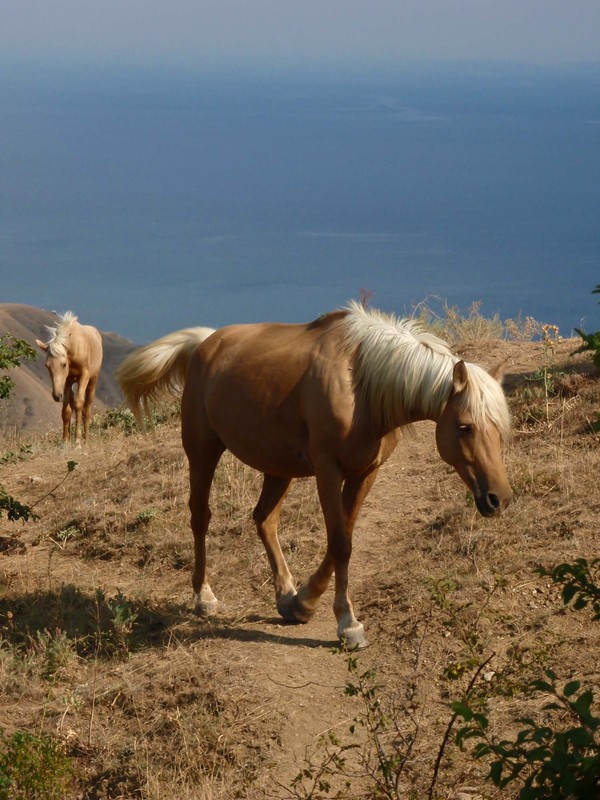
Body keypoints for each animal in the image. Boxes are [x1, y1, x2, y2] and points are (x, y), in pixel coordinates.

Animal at [36, 310, 103, 444]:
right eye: (47, 365)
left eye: (63, 364)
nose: (57, 395)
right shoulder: (67, 380)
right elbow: (66, 410)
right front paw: (65, 440)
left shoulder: (84, 375)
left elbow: (79, 403)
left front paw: (78, 440)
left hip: (92, 381)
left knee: (87, 409)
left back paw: (86, 438)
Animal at [116, 304, 510, 648]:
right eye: (464, 427)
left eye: (499, 428)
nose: (498, 498)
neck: (361, 388)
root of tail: (205, 343)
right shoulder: (327, 470)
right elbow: (341, 543)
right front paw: (348, 624)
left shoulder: (366, 472)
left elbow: (342, 539)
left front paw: (304, 601)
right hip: (203, 450)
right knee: (200, 516)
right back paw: (204, 596)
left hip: (278, 468)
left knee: (264, 519)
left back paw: (285, 593)